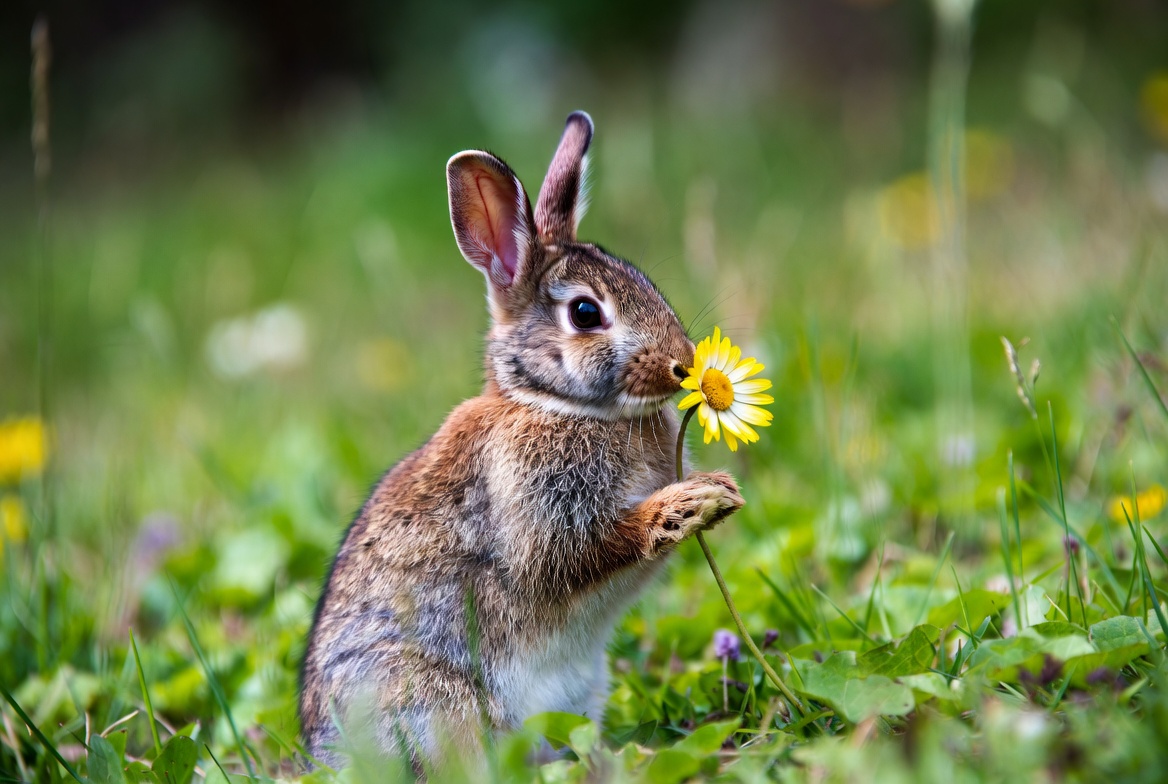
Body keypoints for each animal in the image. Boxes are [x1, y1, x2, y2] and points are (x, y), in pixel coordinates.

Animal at [299, 111, 744, 770]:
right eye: (585, 313)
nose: (681, 364)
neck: (551, 402)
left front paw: (718, 493)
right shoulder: (537, 510)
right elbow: (582, 552)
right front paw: (688, 504)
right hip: (435, 702)